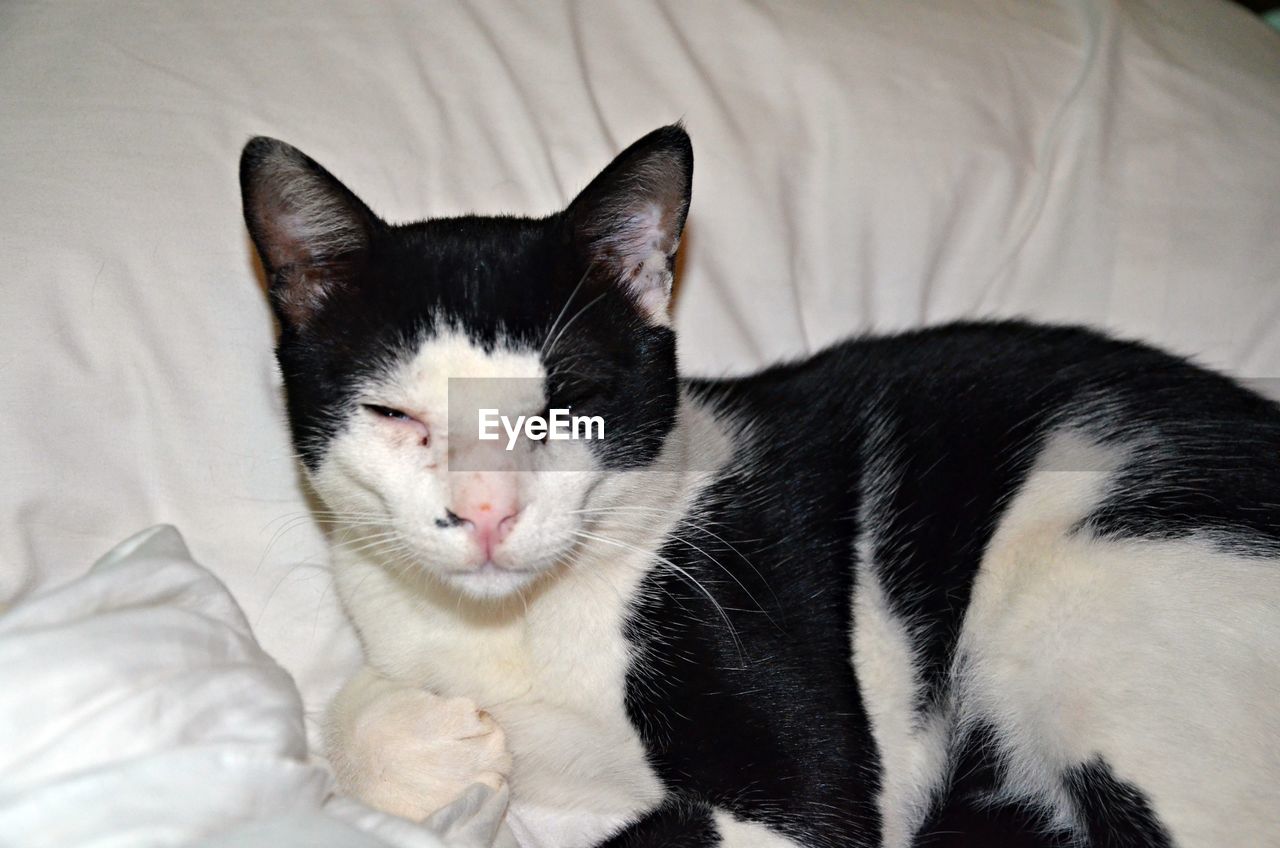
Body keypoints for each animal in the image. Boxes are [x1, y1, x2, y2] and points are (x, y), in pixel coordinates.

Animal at [240, 126, 1280, 848]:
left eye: (569, 402)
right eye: (394, 414)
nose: (489, 512)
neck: (515, 632)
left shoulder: (799, 776)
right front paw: (424, 743)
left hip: (1076, 594)